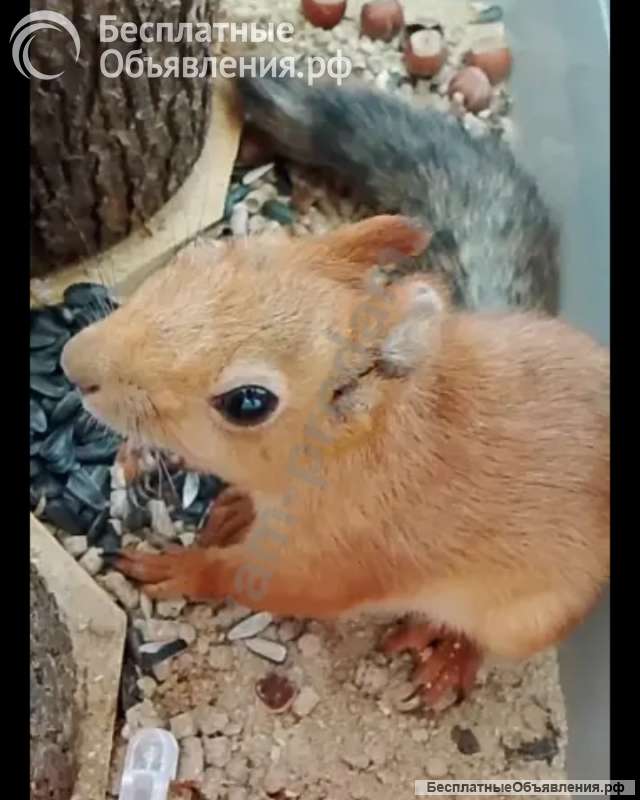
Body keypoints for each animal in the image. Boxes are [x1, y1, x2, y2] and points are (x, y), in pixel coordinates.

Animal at [60, 77, 609, 708]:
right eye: (203, 256)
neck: (348, 453)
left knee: (488, 637)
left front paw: (182, 568)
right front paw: (221, 502)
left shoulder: (334, 561)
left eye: (248, 403)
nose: (73, 363)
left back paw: (449, 648)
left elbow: (249, 580)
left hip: (529, 616)